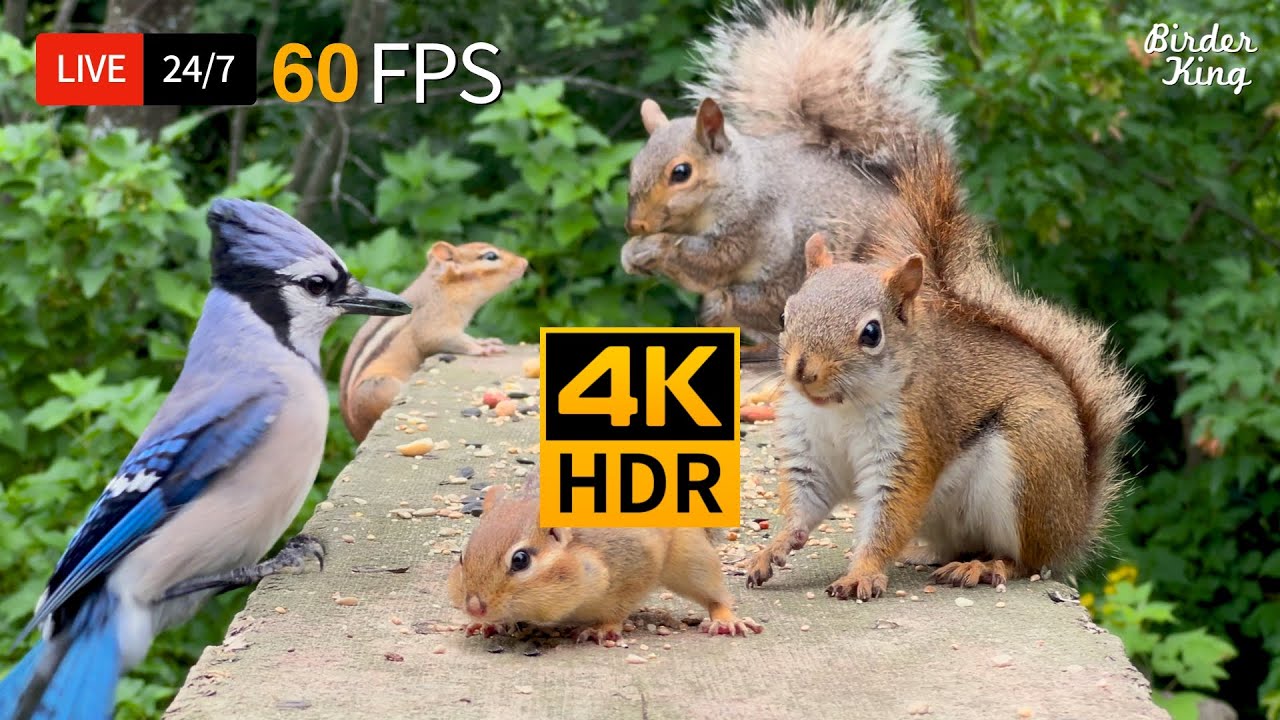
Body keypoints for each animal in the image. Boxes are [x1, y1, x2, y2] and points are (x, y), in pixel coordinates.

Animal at [339, 241, 527, 442]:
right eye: (491, 256)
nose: (524, 263)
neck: (443, 287)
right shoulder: (435, 323)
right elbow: (440, 340)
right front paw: (484, 348)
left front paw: (486, 341)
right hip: (380, 386)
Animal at [447, 473, 763, 643]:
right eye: (462, 555)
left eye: (521, 560)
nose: (474, 607)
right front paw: (486, 624)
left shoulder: (636, 565)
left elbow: (618, 607)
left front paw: (603, 628)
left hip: (691, 558)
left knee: (715, 596)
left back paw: (725, 620)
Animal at [622, 0, 954, 362]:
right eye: (634, 164)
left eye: (681, 172)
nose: (635, 225)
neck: (742, 179)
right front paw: (630, 253)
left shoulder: (752, 223)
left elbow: (711, 261)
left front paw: (654, 247)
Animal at [744, 143, 1141, 600]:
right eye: (784, 316)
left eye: (872, 333)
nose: (803, 371)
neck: (841, 409)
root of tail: (1073, 527)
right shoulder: (810, 448)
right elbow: (804, 504)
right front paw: (770, 549)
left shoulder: (911, 441)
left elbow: (889, 516)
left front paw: (863, 572)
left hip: (1032, 453)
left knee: (1026, 562)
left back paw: (984, 567)